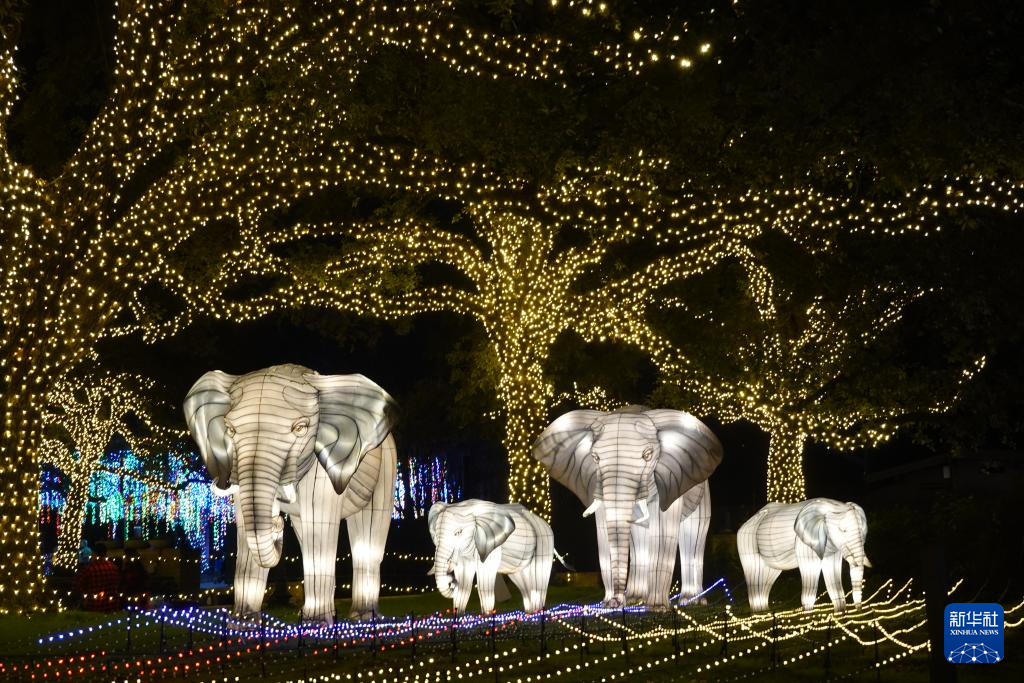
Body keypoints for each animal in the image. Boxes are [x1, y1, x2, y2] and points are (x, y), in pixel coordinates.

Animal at [184, 363, 398, 624]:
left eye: (300, 429)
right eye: (231, 430)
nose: (277, 523)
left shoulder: (321, 474)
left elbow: (320, 528)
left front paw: (316, 625)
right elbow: (246, 531)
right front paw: (243, 624)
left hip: (387, 469)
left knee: (367, 538)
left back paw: (363, 618)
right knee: (307, 536)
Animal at [533, 406, 723, 609]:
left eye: (647, 455)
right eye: (595, 458)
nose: (617, 601)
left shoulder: (667, 481)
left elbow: (663, 533)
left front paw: (657, 608)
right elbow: (604, 536)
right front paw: (609, 604)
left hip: (702, 493)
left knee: (693, 538)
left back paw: (692, 601)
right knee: (640, 541)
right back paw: (636, 599)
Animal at [737, 498, 871, 614]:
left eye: (863, 531)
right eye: (843, 530)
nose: (859, 611)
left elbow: (832, 571)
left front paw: (840, 613)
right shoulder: (803, 543)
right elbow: (810, 569)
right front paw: (808, 615)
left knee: (767, 576)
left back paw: (764, 612)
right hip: (747, 543)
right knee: (753, 574)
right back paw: (759, 614)